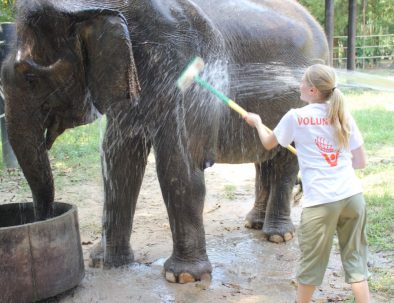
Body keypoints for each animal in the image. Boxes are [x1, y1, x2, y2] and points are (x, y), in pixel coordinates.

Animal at [1, 1, 328, 284]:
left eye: (30, 77)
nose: (40, 218)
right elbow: (119, 161)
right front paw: (105, 262)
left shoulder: (182, 71)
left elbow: (178, 165)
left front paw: (182, 277)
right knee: (265, 156)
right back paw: (254, 223)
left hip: (302, 102)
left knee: (287, 160)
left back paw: (277, 235)